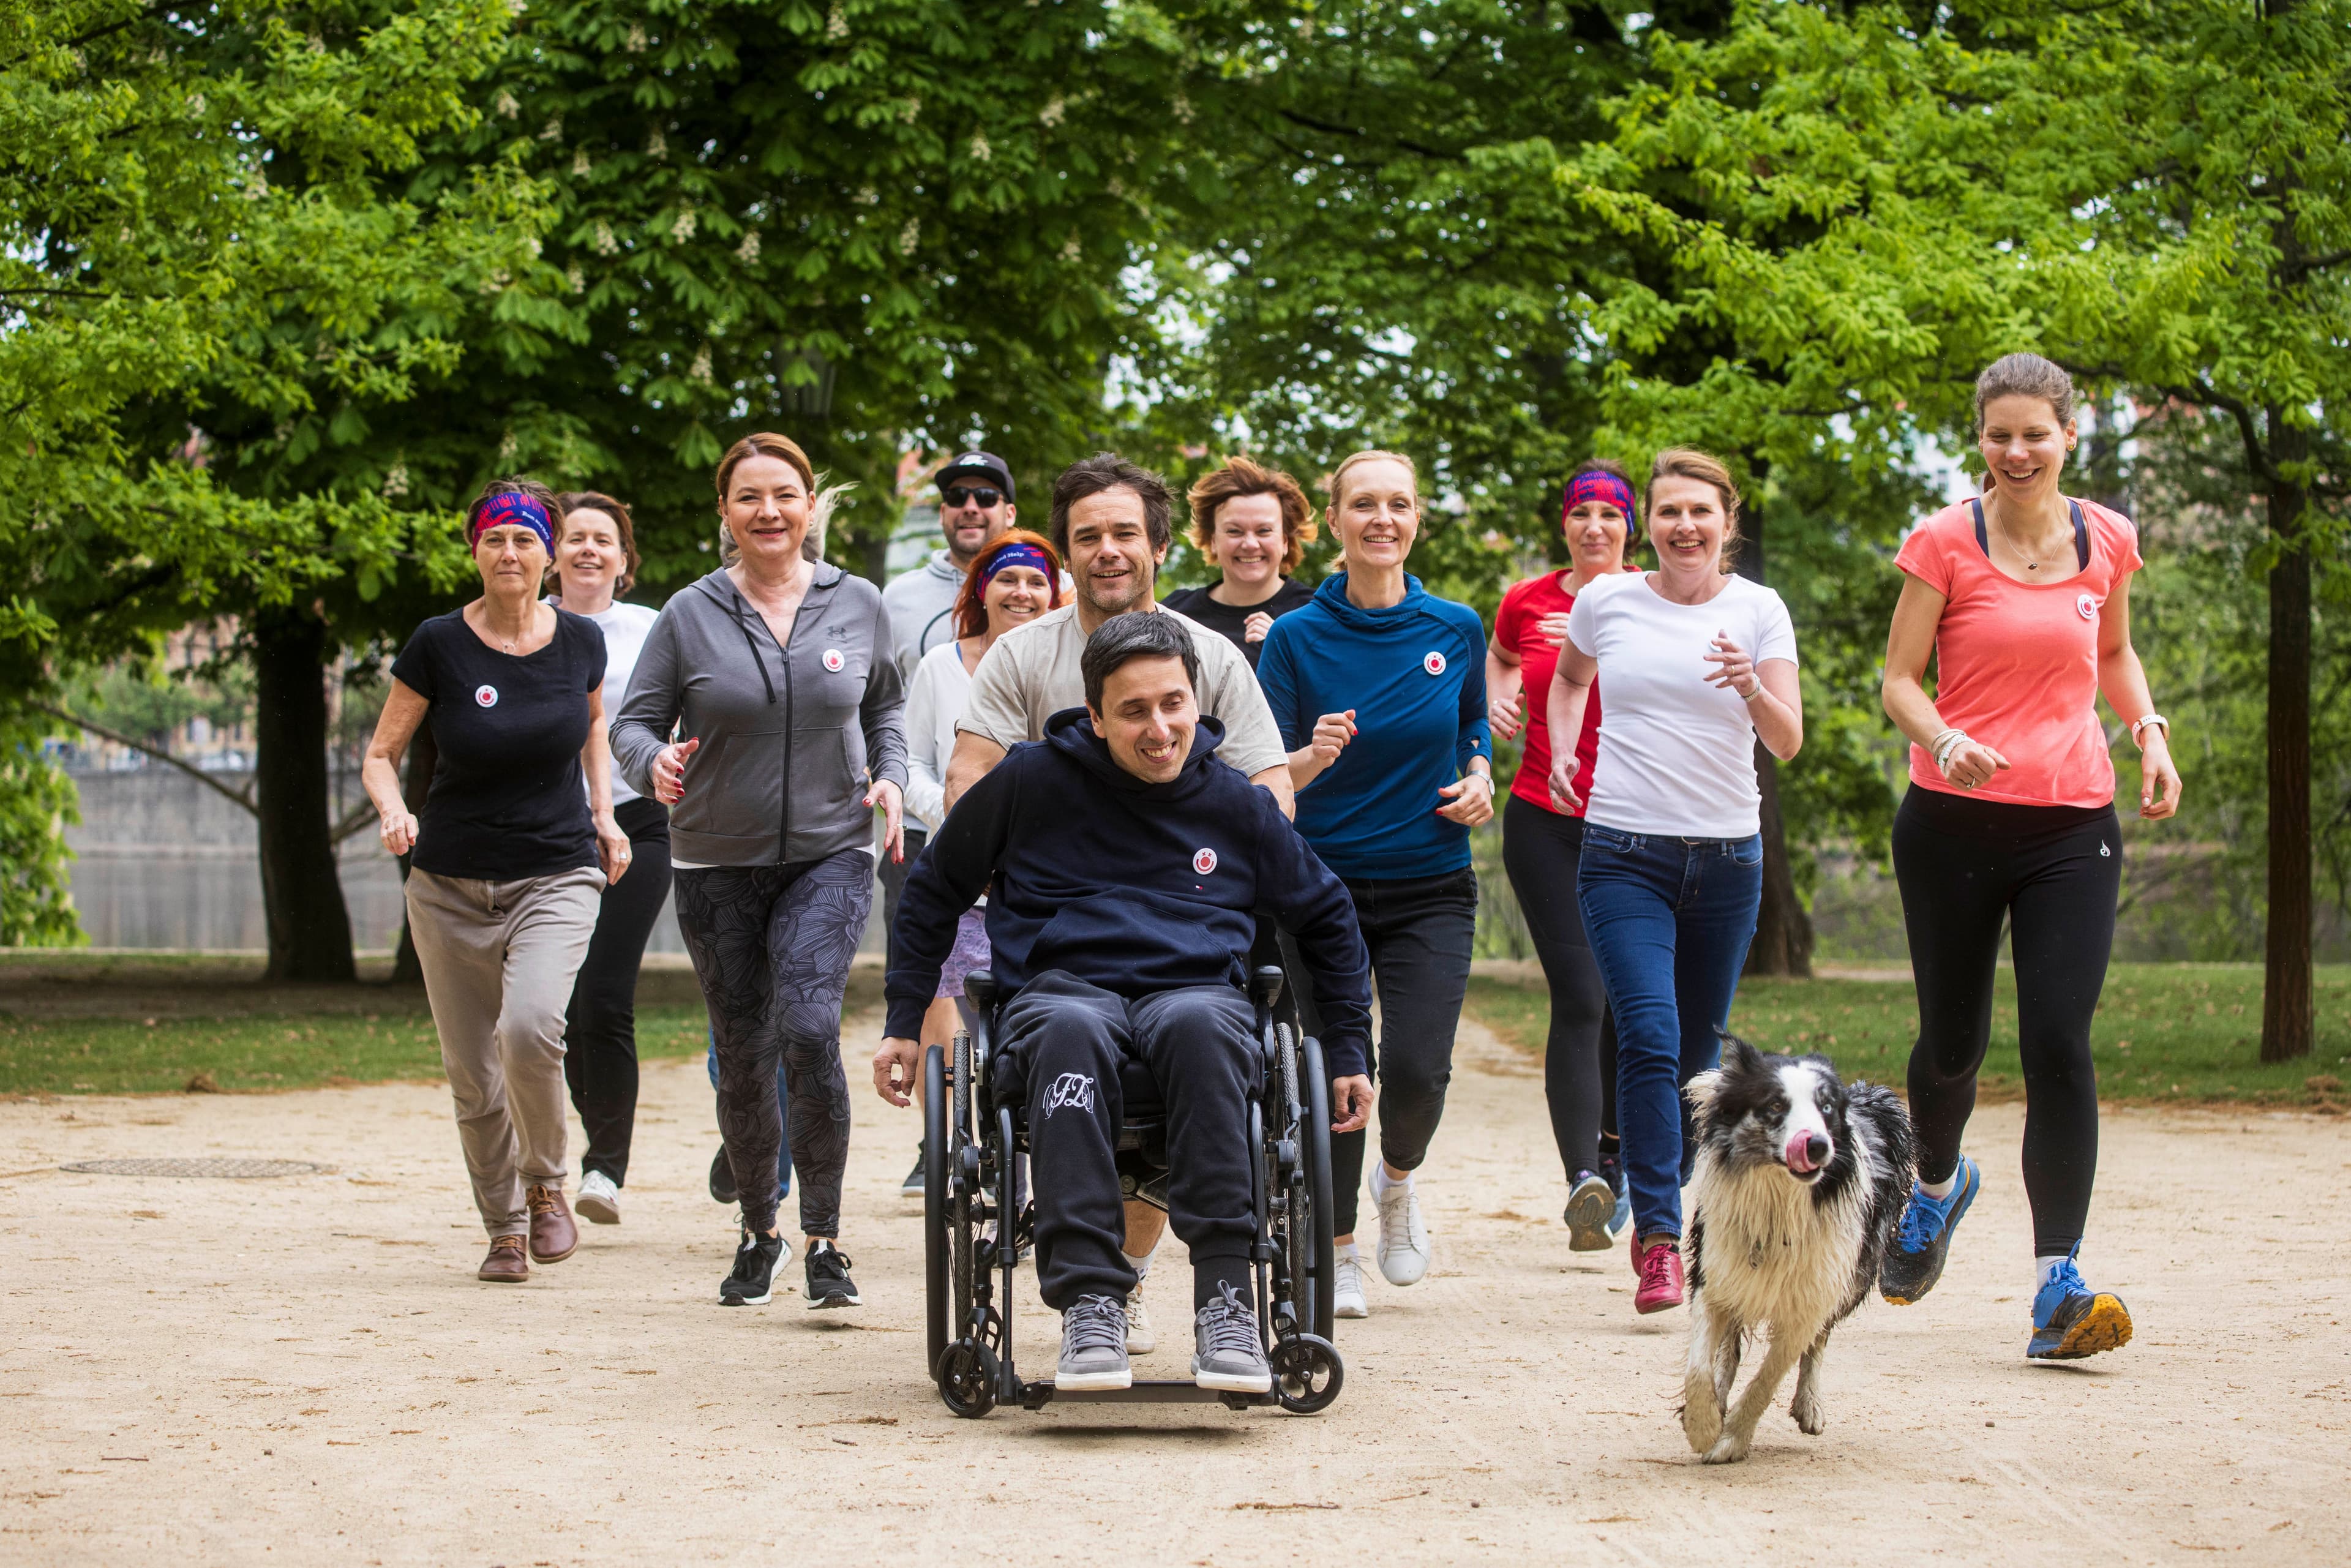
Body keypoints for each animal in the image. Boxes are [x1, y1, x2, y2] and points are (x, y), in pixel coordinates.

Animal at [1674, 1034, 1909, 1466]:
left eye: (1826, 1107)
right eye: (1774, 1105)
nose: (1816, 1145)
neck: (1779, 1205)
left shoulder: (1810, 1300)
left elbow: (1767, 1380)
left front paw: (1731, 1440)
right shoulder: (1714, 1276)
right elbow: (1699, 1366)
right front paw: (1702, 1425)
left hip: (1851, 1278)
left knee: (1819, 1342)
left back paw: (1809, 1405)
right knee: (1727, 1349)